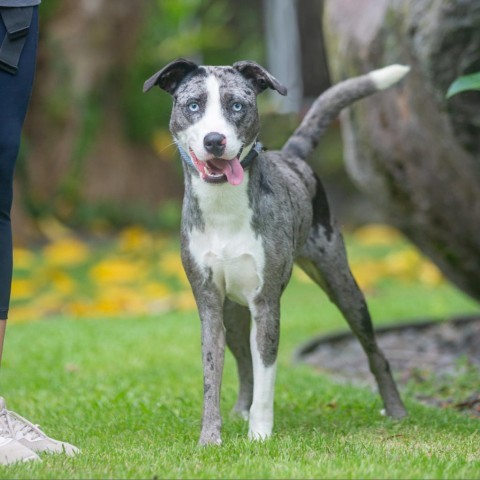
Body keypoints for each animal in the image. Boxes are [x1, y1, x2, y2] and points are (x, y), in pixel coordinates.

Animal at [142, 60, 408, 446]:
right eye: (193, 105)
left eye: (237, 105)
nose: (214, 140)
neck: (223, 206)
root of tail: (292, 154)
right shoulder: (209, 305)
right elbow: (213, 375)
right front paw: (210, 438)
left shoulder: (266, 303)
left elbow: (266, 370)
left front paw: (260, 434)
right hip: (233, 314)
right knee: (242, 364)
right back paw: (239, 409)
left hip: (343, 285)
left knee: (374, 350)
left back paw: (396, 408)